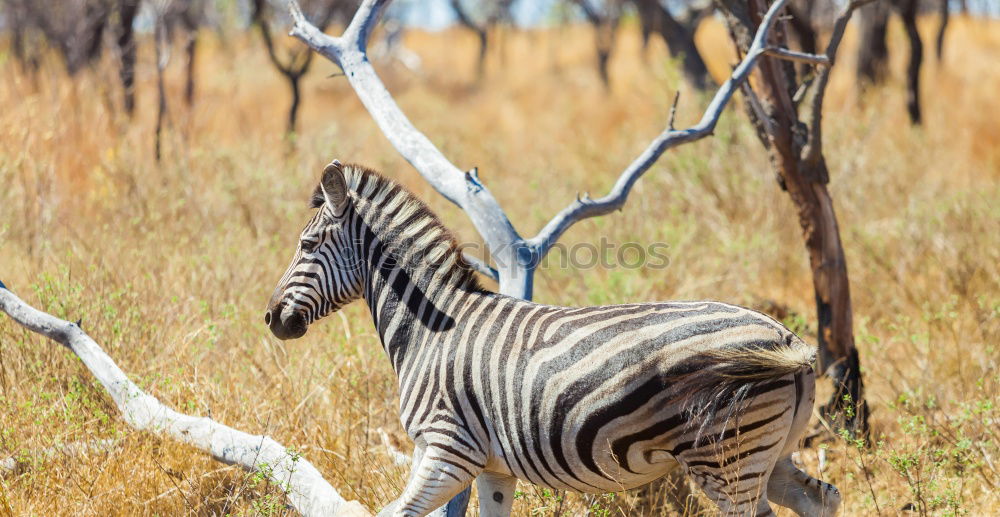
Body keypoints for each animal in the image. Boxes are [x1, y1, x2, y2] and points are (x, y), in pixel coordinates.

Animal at [266, 159, 844, 512]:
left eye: (307, 244)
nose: (271, 318)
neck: (430, 333)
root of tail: (786, 336)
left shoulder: (447, 449)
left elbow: (395, 512)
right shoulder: (493, 468)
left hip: (726, 459)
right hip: (770, 451)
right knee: (824, 498)